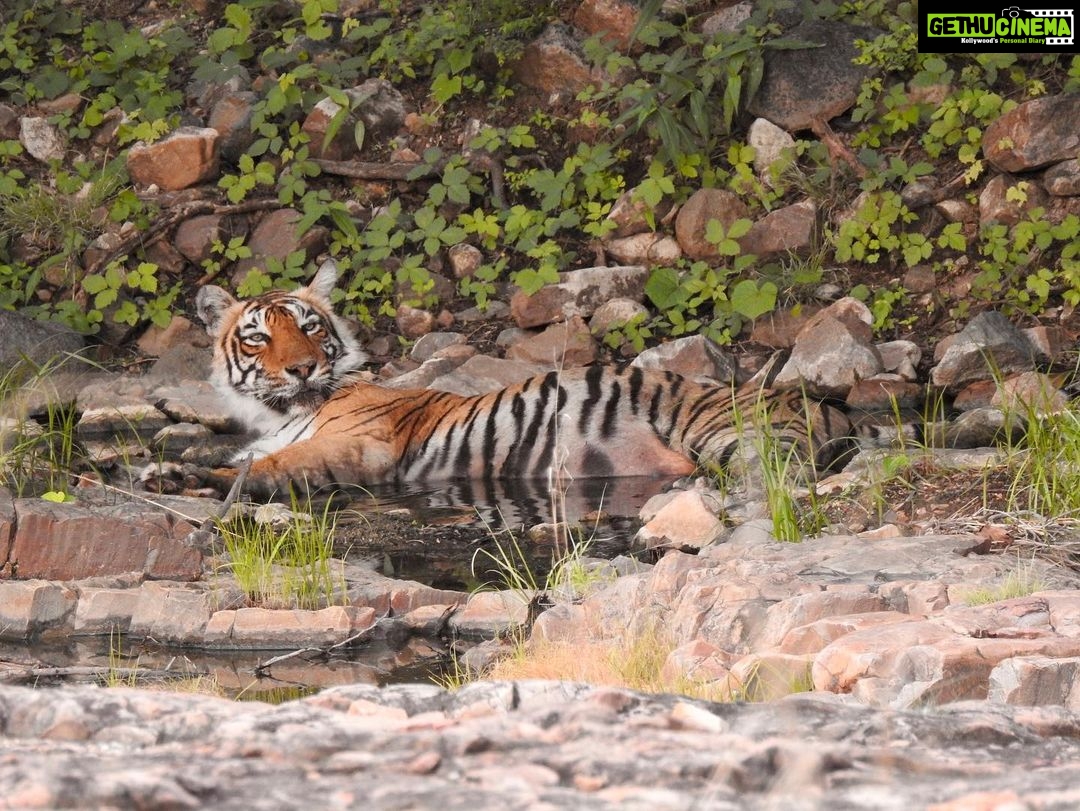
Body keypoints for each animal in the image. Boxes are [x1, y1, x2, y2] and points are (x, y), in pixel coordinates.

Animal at [195, 261, 859, 499]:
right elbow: (248, 457)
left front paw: (201, 478)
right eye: (259, 337)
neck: (281, 414)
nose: (302, 367)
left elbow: (274, 464)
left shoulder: (363, 444)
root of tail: (828, 406)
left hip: (723, 432)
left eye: (309, 326)